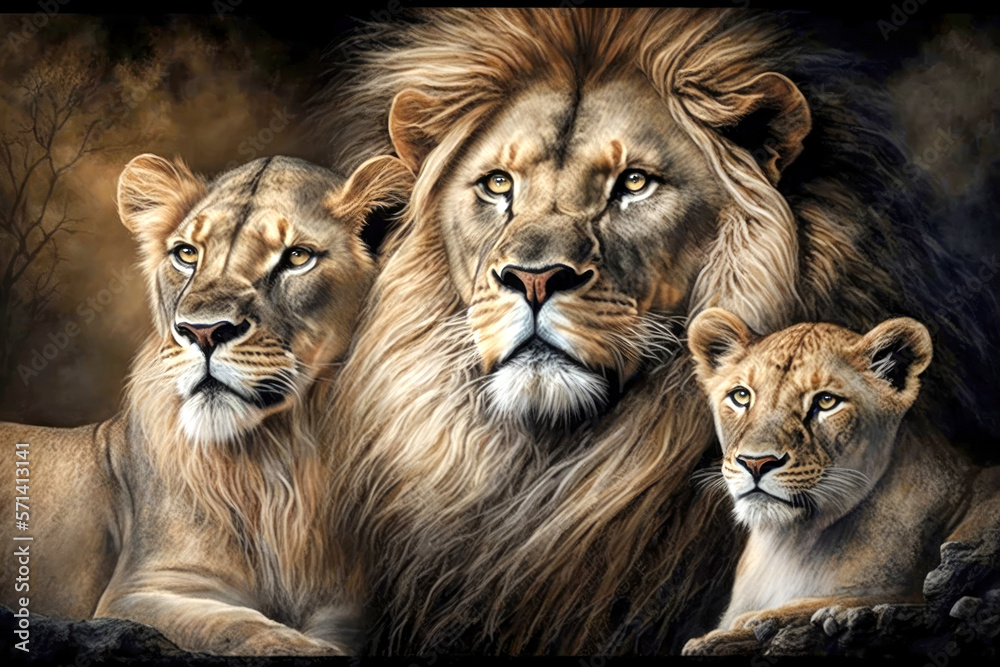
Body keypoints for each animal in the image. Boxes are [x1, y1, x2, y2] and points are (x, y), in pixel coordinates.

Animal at [0, 152, 411, 655]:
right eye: (187, 254)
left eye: (297, 257)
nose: (202, 331)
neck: (277, 461)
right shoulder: (142, 591)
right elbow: (244, 628)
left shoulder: (349, 606)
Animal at [681, 309, 1000, 655]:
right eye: (741, 396)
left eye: (826, 401)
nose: (756, 462)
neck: (788, 543)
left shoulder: (905, 589)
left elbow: (822, 604)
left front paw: (736, 631)